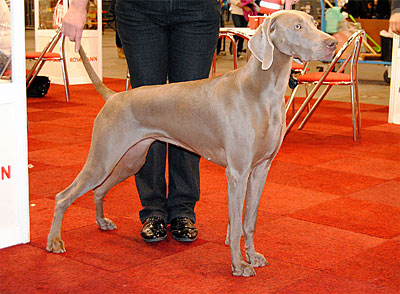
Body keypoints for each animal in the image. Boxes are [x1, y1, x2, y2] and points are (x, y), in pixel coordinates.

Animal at [45, 10, 336, 276]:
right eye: (297, 26)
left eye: (314, 23)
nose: (332, 43)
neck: (261, 91)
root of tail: (114, 96)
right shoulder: (237, 172)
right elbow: (236, 223)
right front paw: (238, 264)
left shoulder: (260, 170)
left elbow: (249, 221)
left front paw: (252, 257)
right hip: (103, 158)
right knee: (63, 196)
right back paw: (54, 242)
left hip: (130, 159)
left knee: (98, 189)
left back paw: (102, 222)